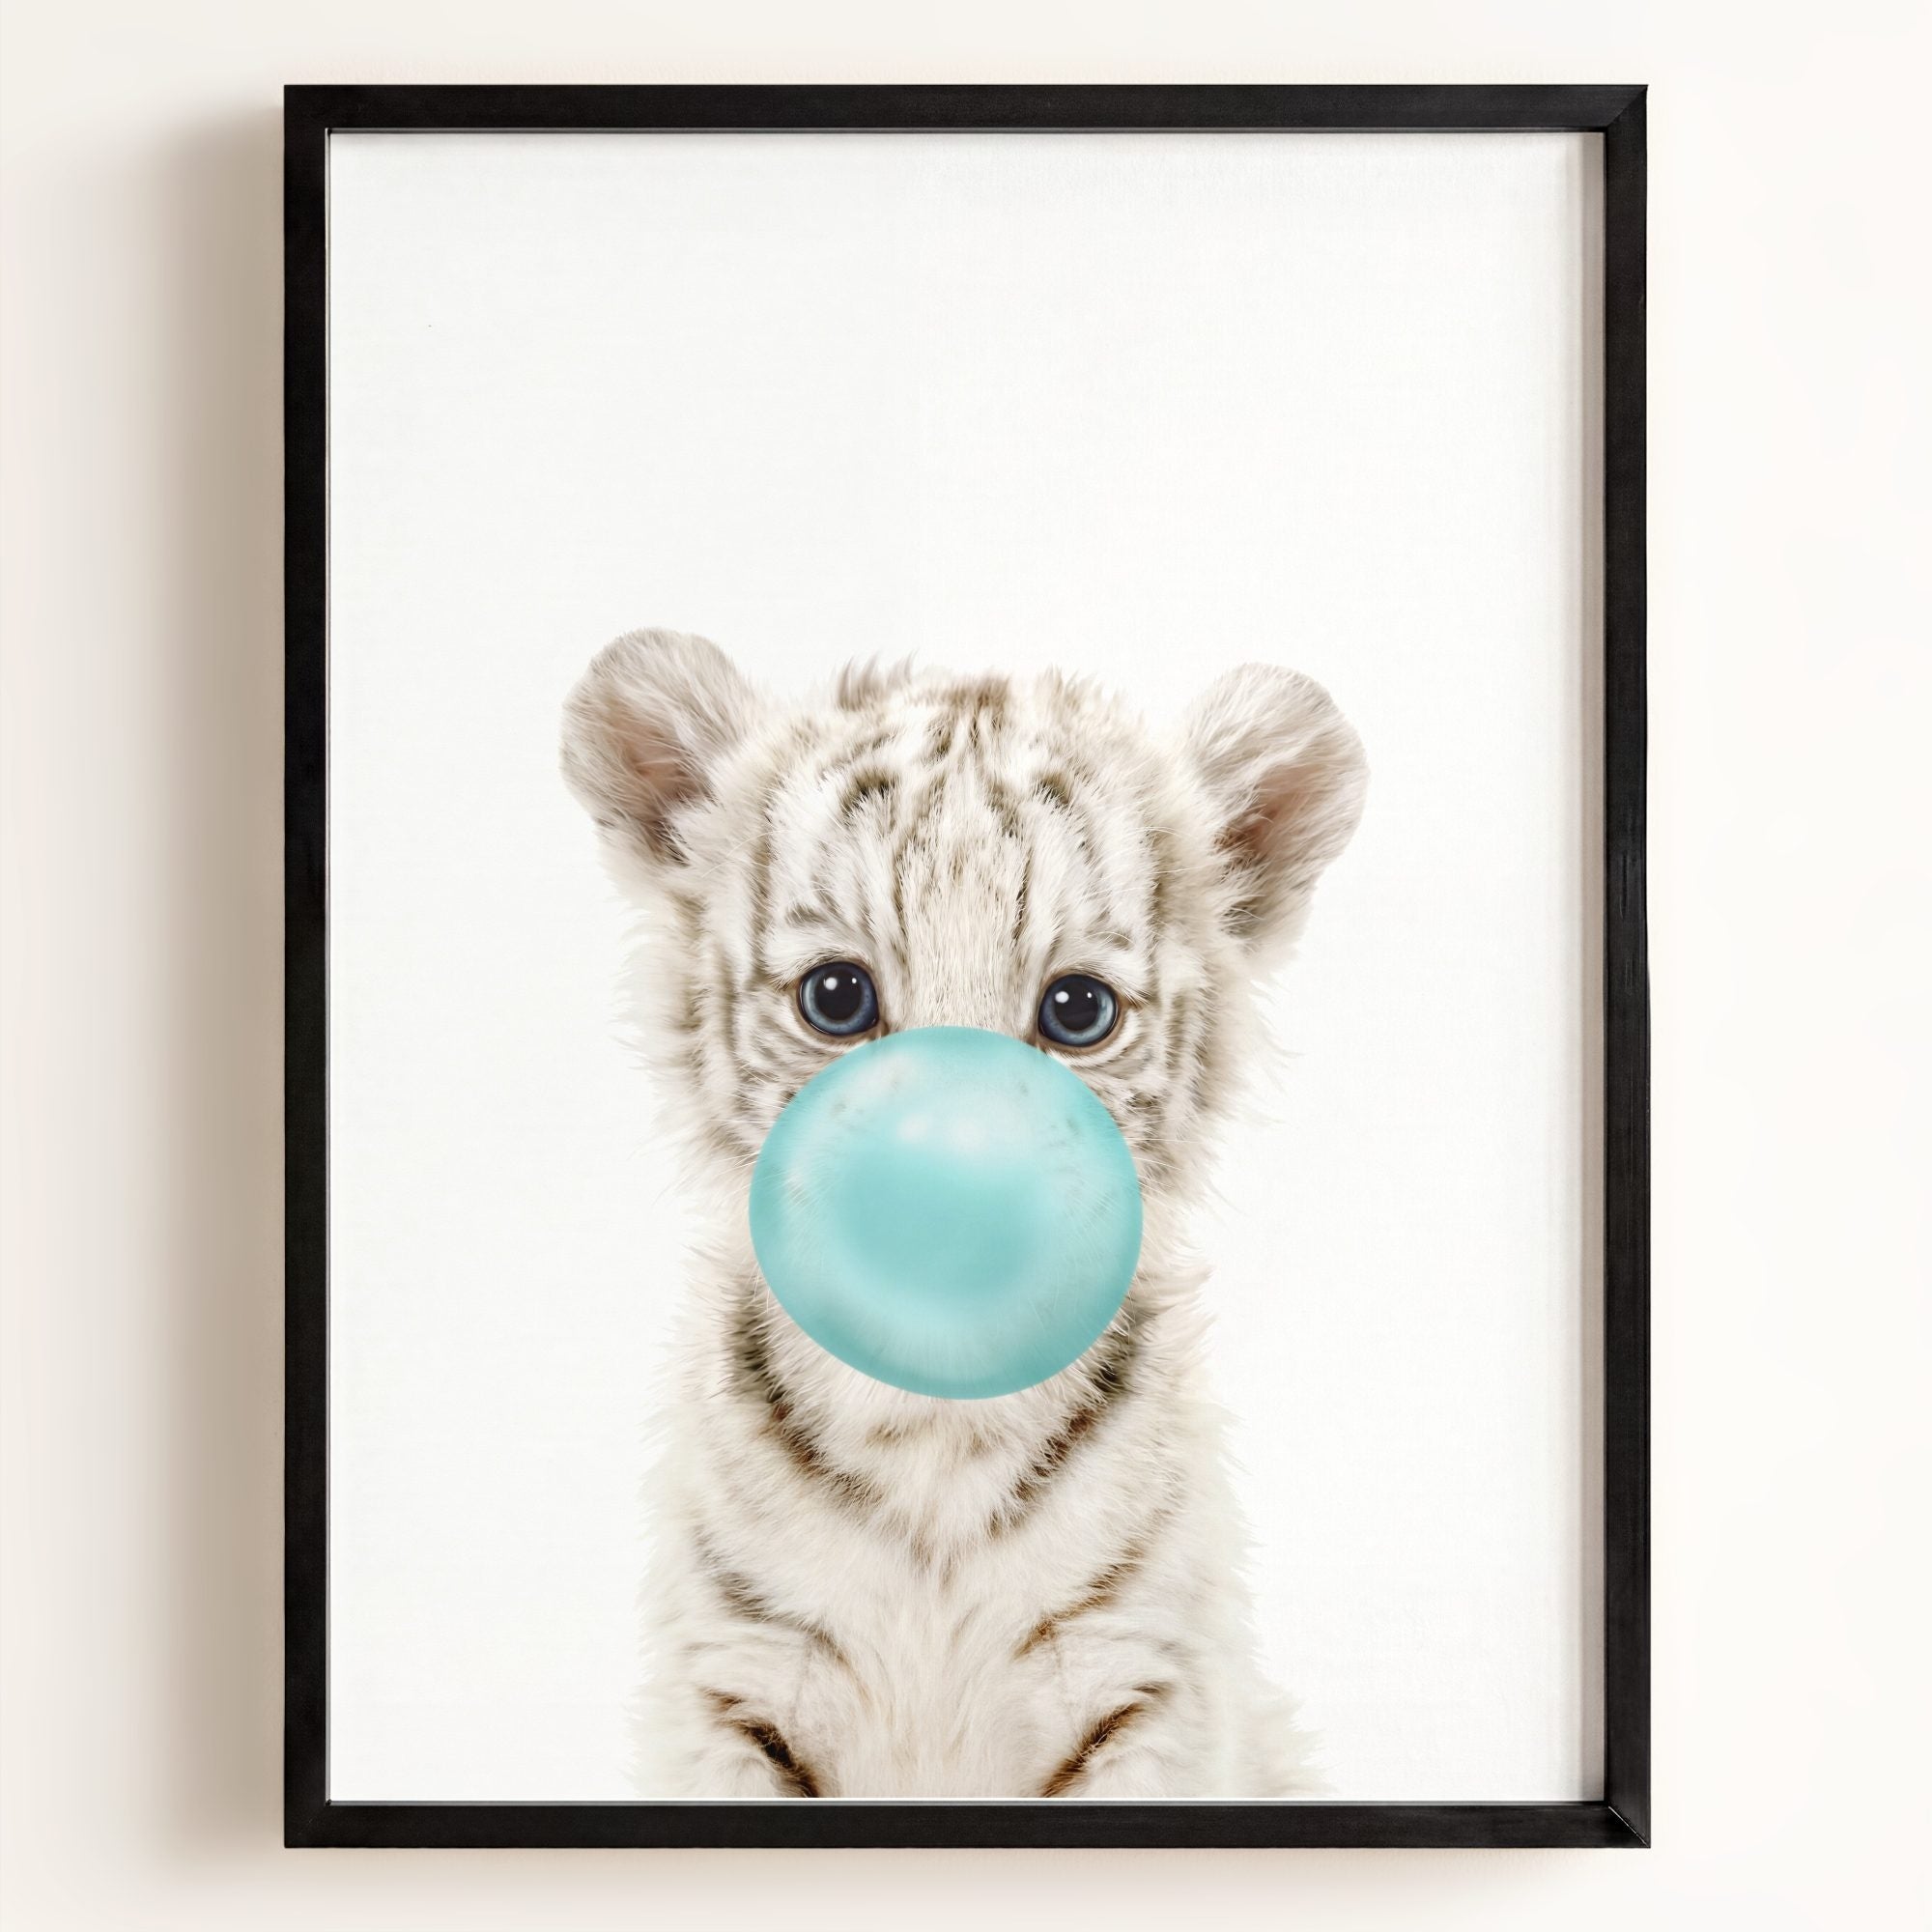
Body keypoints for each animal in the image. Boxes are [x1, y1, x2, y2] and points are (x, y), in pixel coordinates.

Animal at [561, 627, 1366, 1798]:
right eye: (836, 997)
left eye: (1077, 1011)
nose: (949, 1198)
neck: (933, 1432)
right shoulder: (733, 1683)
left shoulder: (1143, 1685)